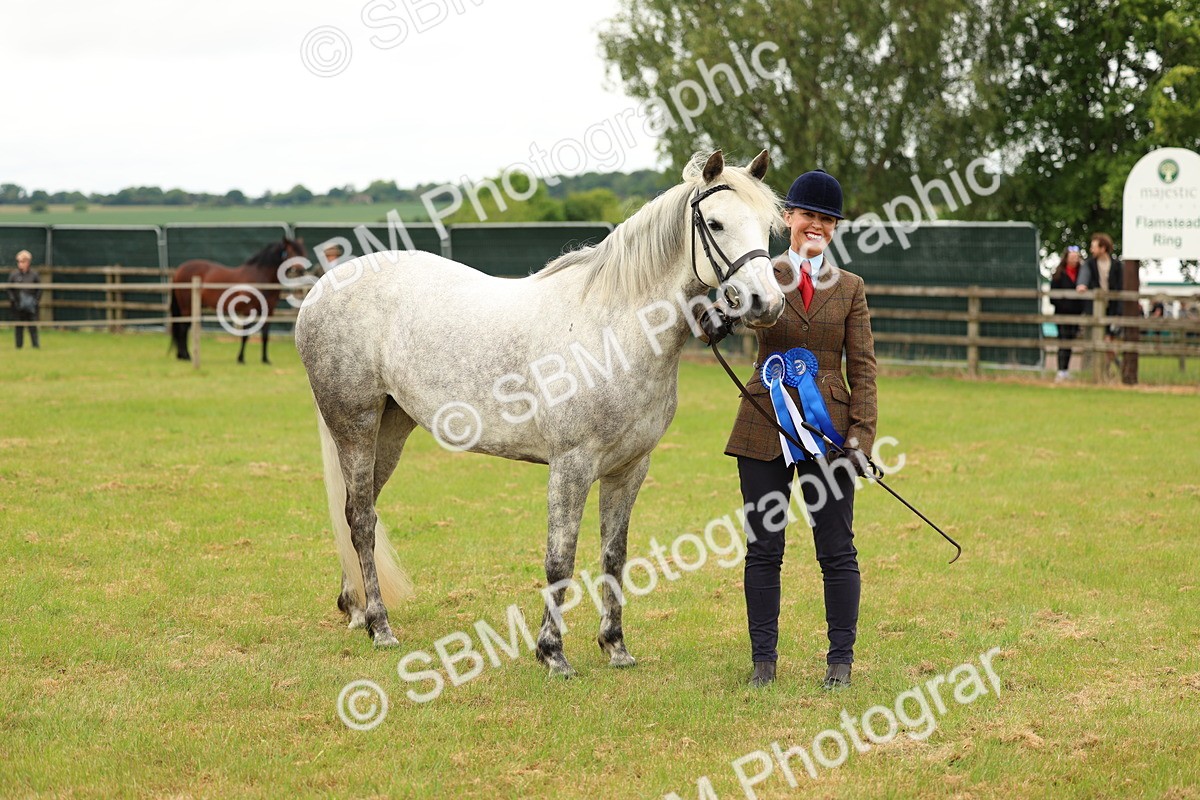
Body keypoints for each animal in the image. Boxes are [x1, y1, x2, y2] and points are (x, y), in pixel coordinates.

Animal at [169, 237, 307, 364]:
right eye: (291, 252)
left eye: (302, 252)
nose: (301, 271)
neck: (260, 277)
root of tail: (179, 270)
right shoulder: (248, 310)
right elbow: (245, 335)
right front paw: (241, 358)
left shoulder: (269, 312)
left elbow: (265, 335)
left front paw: (265, 359)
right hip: (187, 307)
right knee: (183, 328)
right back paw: (186, 356)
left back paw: (182, 355)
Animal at [295, 150, 786, 677]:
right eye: (715, 223)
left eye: (767, 225)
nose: (767, 303)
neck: (612, 329)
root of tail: (322, 289)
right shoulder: (571, 466)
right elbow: (560, 559)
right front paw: (553, 654)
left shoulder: (630, 468)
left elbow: (614, 556)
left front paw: (615, 647)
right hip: (356, 427)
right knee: (362, 519)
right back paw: (380, 626)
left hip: (390, 428)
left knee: (357, 510)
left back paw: (357, 609)